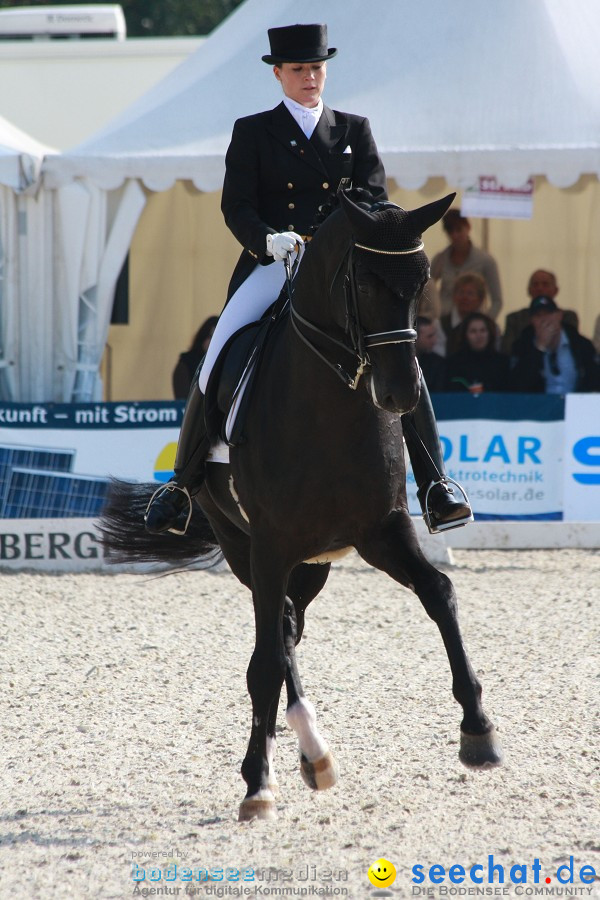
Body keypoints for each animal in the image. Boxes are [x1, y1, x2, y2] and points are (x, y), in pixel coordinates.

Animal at [103, 190, 502, 824]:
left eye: (422, 282)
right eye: (363, 281)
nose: (402, 394)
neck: (330, 406)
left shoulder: (382, 531)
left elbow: (439, 594)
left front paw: (479, 730)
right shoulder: (270, 545)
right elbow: (265, 660)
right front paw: (256, 784)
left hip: (312, 565)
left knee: (291, 624)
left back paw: (312, 751)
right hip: (245, 548)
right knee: (276, 638)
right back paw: (301, 751)